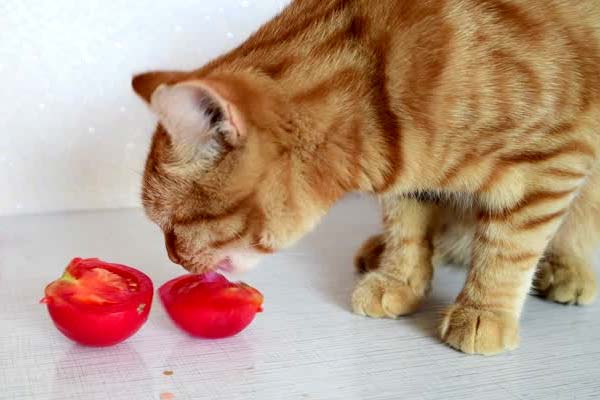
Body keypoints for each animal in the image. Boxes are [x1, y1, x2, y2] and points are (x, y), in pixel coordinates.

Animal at [132, 0, 600, 356]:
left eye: (171, 225)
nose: (174, 261)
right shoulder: (414, 179)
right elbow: (407, 229)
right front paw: (399, 279)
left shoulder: (551, 162)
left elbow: (508, 247)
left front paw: (484, 309)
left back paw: (565, 268)